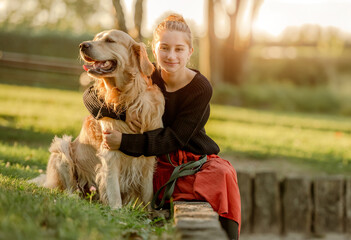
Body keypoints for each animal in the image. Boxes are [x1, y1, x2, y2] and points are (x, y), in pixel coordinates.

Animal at [28, 29, 165, 208]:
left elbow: (148, 195)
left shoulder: (148, 158)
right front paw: (117, 211)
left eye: (110, 40)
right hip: (62, 149)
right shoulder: (110, 155)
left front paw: (148, 213)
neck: (127, 97)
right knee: (68, 188)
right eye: (95, 39)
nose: (82, 45)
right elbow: (114, 193)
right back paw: (73, 197)